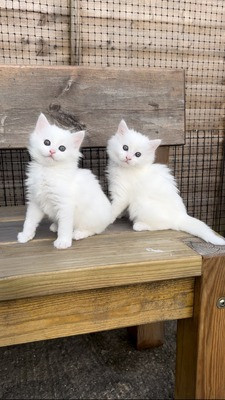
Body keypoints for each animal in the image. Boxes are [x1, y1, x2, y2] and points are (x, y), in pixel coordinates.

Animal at [17, 113, 111, 250]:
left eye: (62, 148)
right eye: (47, 142)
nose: (52, 151)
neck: (48, 171)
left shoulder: (65, 205)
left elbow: (65, 227)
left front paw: (63, 242)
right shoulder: (35, 202)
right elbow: (29, 221)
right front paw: (25, 235)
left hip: (91, 217)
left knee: (94, 230)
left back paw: (78, 233)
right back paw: (55, 226)